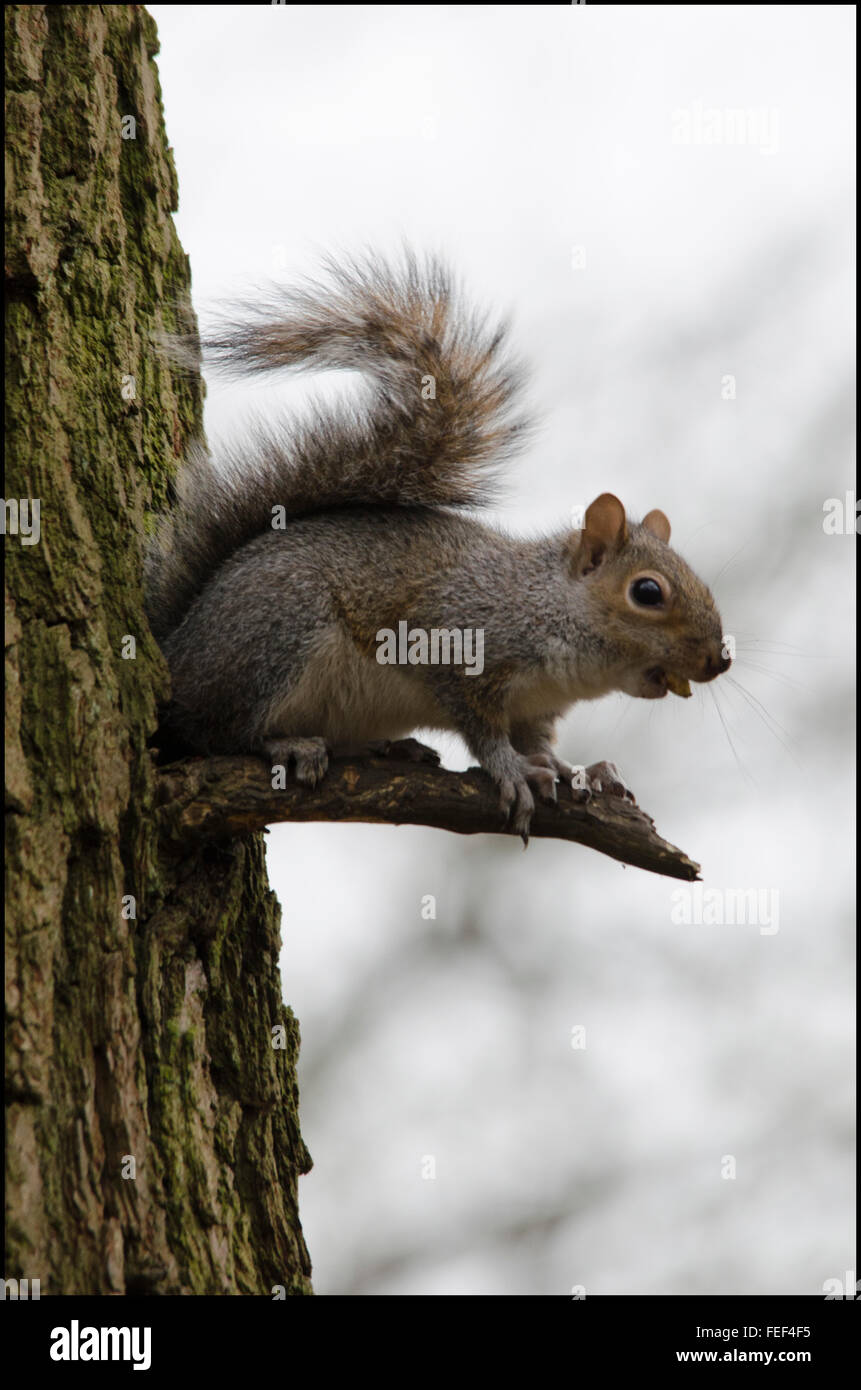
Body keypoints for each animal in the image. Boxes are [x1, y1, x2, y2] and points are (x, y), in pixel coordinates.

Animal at [144, 250, 728, 834]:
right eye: (647, 593)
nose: (719, 660)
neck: (544, 608)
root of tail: (179, 647)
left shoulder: (534, 708)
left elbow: (538, 741)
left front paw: (573, 769)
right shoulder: (456, 640)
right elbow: (481, 728)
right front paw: (512, 770)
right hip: (275, 631)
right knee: (211, 731)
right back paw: (285, 744)